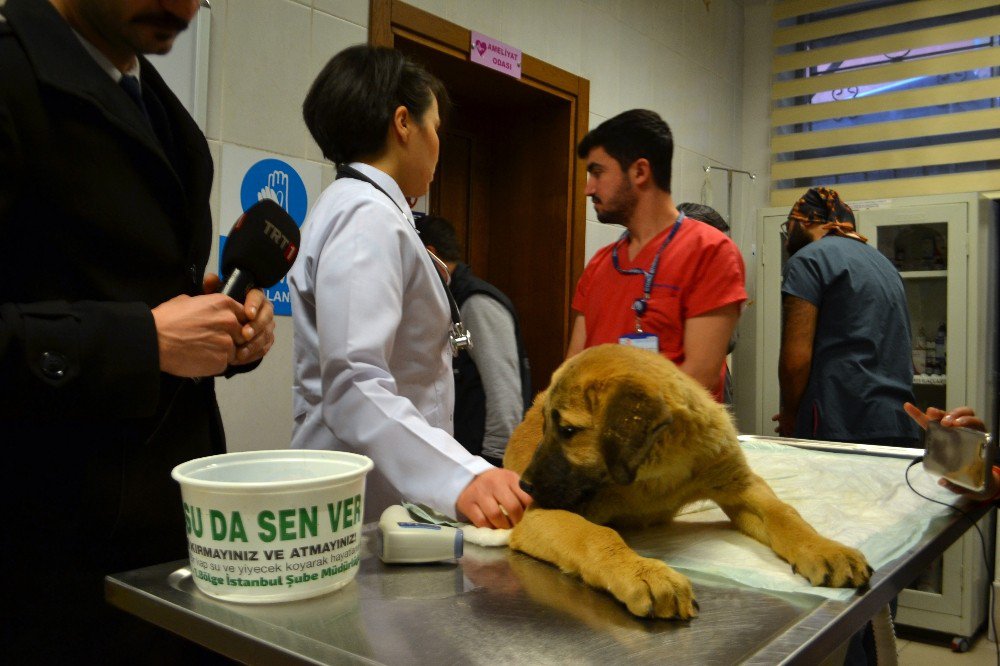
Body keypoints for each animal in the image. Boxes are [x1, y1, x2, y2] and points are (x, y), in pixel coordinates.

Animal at [504, 342, 872, 616]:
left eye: (568, 431)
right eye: (545, 428)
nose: (524, 487)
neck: (654, 475)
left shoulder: (740, 484)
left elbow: (785, 514)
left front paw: (824, 549)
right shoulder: (540, 515)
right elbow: (594, 534)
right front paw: (643, 572)